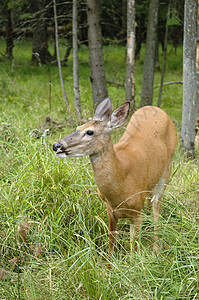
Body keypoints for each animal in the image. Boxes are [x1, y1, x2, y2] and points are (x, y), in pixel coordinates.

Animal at [52, 98, 177, 255]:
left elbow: (133, 248)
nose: (57, 145)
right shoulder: (110, 210)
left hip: (168, 167)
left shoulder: (137, 211)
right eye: (78, 127)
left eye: (90, 132)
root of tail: (156, 109)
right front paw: (109, 261)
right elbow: (111, 242)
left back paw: (156, 248)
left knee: (157, 206)